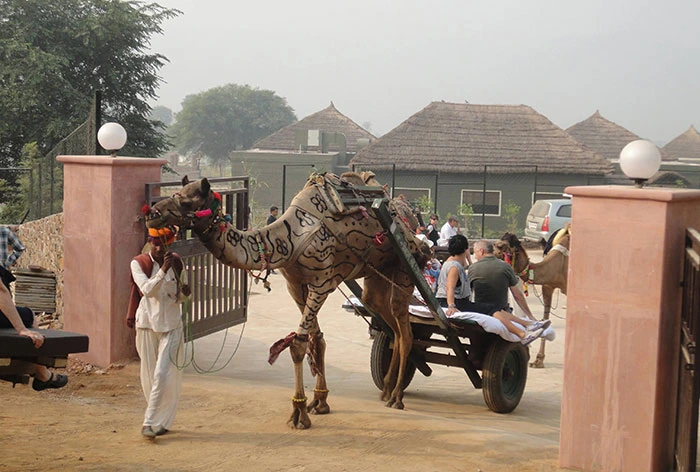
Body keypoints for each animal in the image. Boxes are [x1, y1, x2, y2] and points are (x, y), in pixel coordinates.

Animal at [145, 172, 430, 429]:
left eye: (186, 200)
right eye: (175, 193)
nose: (151, 211)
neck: (287, 241)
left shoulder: (321, 282)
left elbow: (298, 345)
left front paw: (299, 413)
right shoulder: (296, 285)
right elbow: (318, 339)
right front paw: (320, 402)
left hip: (406, 270)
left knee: (405, 333)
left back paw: (396, 397)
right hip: (376, 278)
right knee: (393, 329)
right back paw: (387, 390)